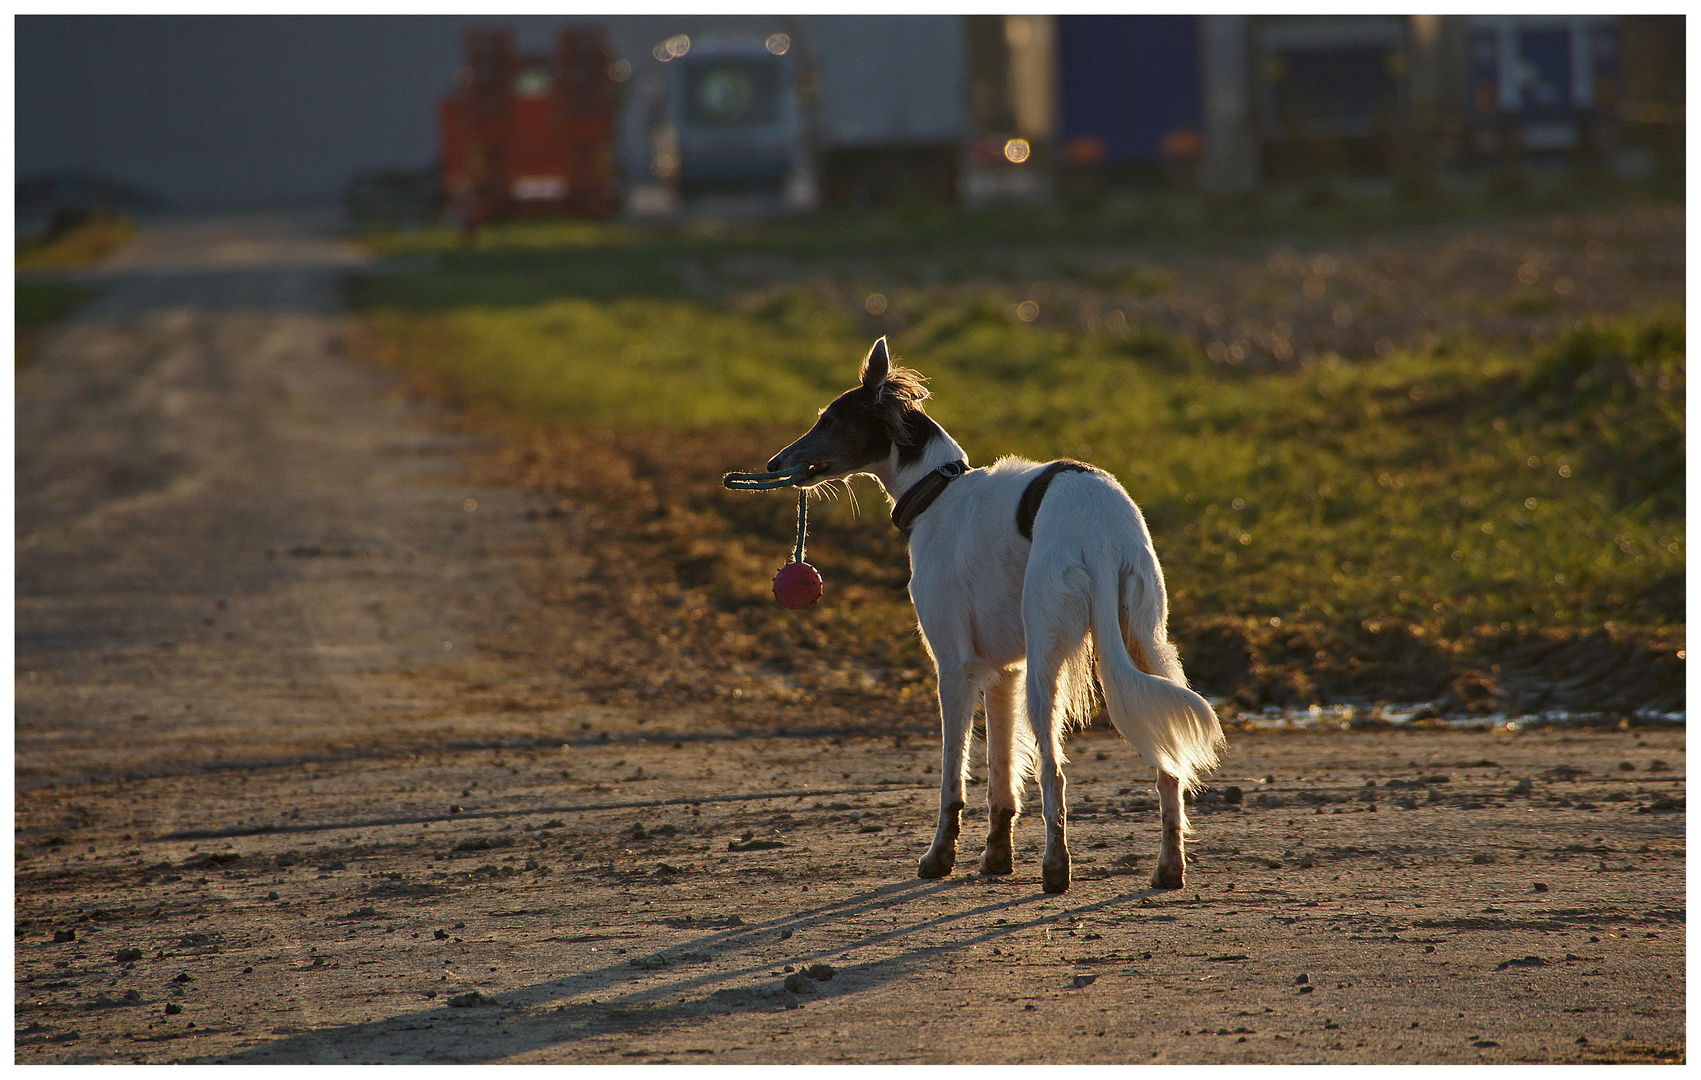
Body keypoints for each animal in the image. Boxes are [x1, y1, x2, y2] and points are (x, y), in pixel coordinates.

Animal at [768, 340, 1224, 898]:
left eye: (830, 420)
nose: (773, 462)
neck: (936, 492)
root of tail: (1098, 527)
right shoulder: (1005, 670)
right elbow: (1002, 779)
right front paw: (996, 858)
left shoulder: (954, 666)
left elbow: (954, 775)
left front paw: (939, 857)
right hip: (1147, 639)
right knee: (1168, 765)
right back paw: (1168, 867)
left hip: (1047, 664)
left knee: (1054, 771)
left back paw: (1056, 868)